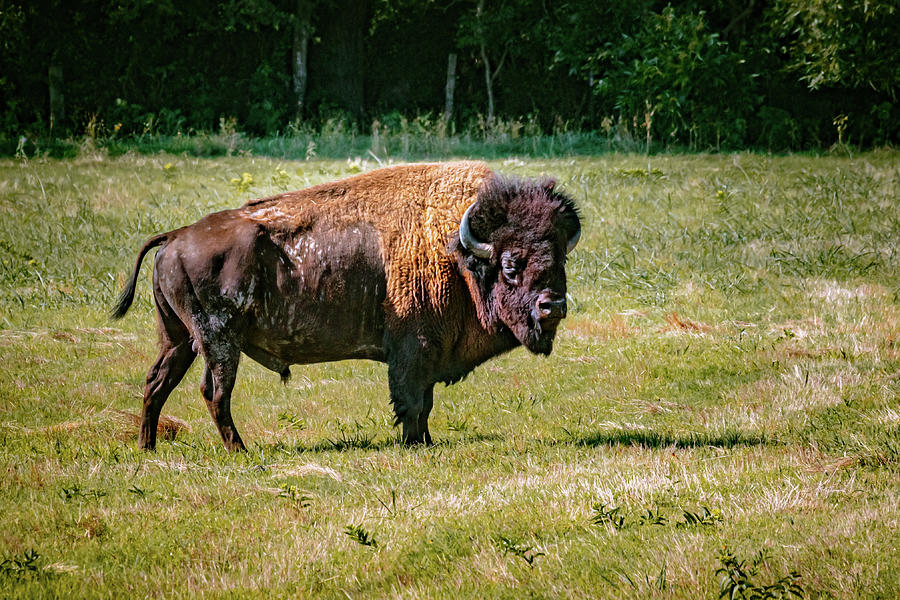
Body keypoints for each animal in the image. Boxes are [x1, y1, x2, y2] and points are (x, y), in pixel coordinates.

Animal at [112, 161, 580, 450]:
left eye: (559, 257)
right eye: (511, 264)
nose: (552, 306)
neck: (458, 251)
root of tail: (175, 236)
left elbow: (424, 401)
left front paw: (425, 441)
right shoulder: (414, 350)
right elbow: (412, 401)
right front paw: (416, 444)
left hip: (178, 338)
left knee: (157, 383)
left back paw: (148, 448)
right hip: (217, 341)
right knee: (215, 392)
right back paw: (240, 450)